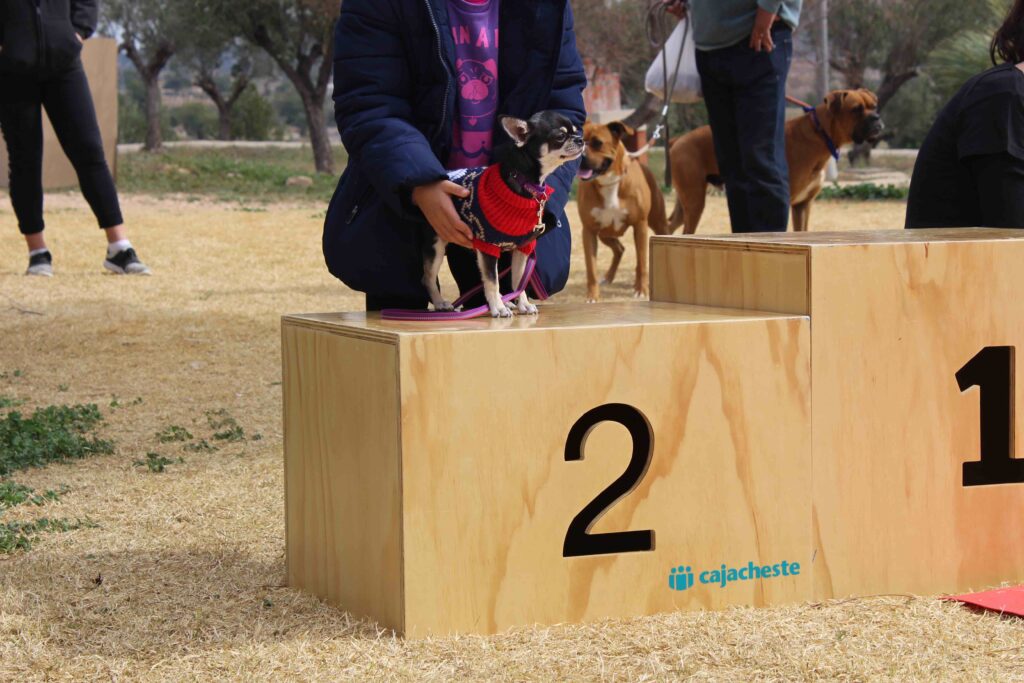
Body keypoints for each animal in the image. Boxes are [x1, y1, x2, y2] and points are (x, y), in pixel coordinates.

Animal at [423, 111, 584, 318]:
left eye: (576, 130)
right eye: (560, 136)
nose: (580, 139)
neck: (524, 182)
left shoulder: (522, 248)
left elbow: (518, 281)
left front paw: (522, 304)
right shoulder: (488, 247)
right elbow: (492, 282)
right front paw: (497, 308)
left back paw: (506, 301)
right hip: (436, 245)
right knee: (428, 277)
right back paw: (441, 302)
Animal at [577, 121, 668, 302]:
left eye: (597, 143)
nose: (580, 157)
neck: (609, 182)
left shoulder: (640, 225)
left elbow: (642, 261)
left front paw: (642, 290)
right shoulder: (589, 231)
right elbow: (591, 268)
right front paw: (593, 296)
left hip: (658, 223)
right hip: (604, 234)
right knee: (619, 249)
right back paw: (608, 277)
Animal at [668, 89, 885, 234]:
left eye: (874, 106)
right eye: (856, 109)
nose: (876, 117)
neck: (820, 132)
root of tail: (679, 139)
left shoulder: (803, 205)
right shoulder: (786, 202)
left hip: (685, 203)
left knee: (668, 227)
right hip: (695, 201)